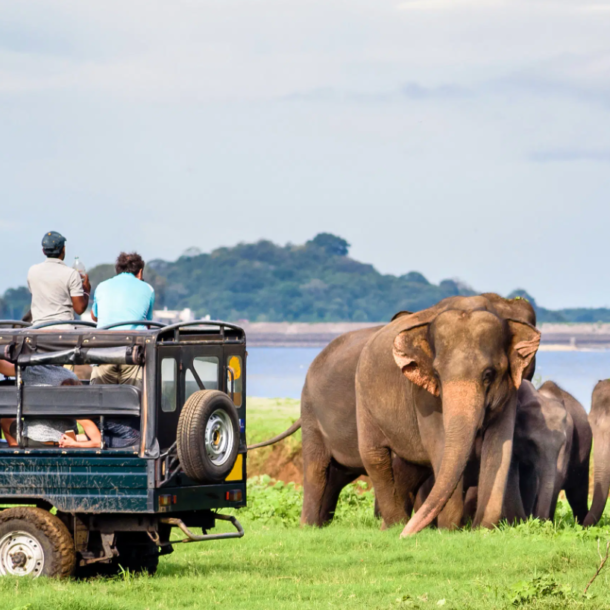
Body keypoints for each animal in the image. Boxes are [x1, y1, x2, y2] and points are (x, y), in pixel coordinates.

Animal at [300, 292, 536, 528]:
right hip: (343, 402)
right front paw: (448, 530)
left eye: (488, 375)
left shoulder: (510, 389)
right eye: (437, 374)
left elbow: (499, 446)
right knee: (357, 459)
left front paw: (481, 528)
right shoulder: (423, 395)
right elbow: (439, 444)